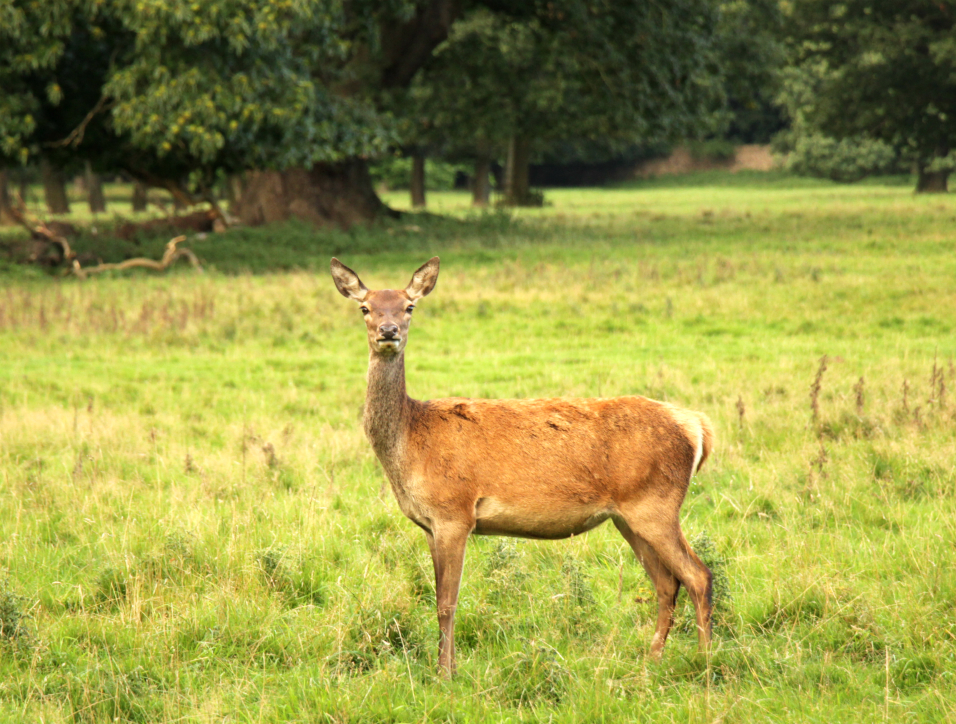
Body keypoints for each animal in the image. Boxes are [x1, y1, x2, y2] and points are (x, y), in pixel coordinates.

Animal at [330, 256, 716, 677]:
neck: (411, 441)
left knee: (698, 575)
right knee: (666, 582)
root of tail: (697, 426)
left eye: (409, 306)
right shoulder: (430, 525)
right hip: (628, 515)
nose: (389, 331)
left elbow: (447, 603)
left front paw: (445, 674)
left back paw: (704, 661)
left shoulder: (455, 513)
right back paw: (653, 659)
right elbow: (440, 599)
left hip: (656, 504)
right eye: (365, 307)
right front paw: (446, 667)